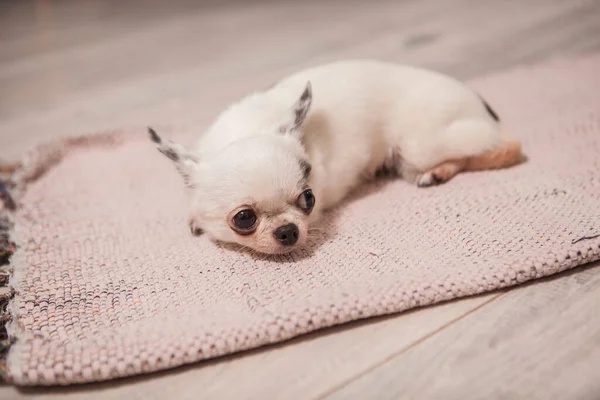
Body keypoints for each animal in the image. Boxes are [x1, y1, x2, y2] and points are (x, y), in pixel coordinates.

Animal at [149, 59, 520, 253]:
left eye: (308, 199)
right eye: (244, 218)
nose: (288, 231)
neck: (245, 130)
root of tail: (476, 97)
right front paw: (194, 217)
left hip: (421, 144)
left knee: (504, 148)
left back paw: (439, 172)